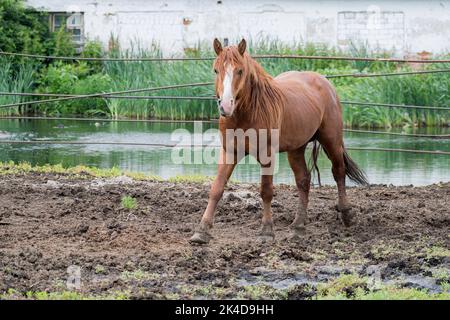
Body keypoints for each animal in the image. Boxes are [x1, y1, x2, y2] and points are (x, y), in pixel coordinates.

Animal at [188, 39, 368, 245]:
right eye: (216, 70)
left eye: (240, 71)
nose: (225, 106)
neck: (248, 113)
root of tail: (324, 82)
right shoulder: (229, 151)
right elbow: (216, 188)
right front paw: (201, 231)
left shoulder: (267, 155)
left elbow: (266, 191)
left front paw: (267, 231)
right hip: (296, 148)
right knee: (303, 180)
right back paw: (298, 225)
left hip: (331, 140)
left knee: (338, 172)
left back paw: (346, 214)